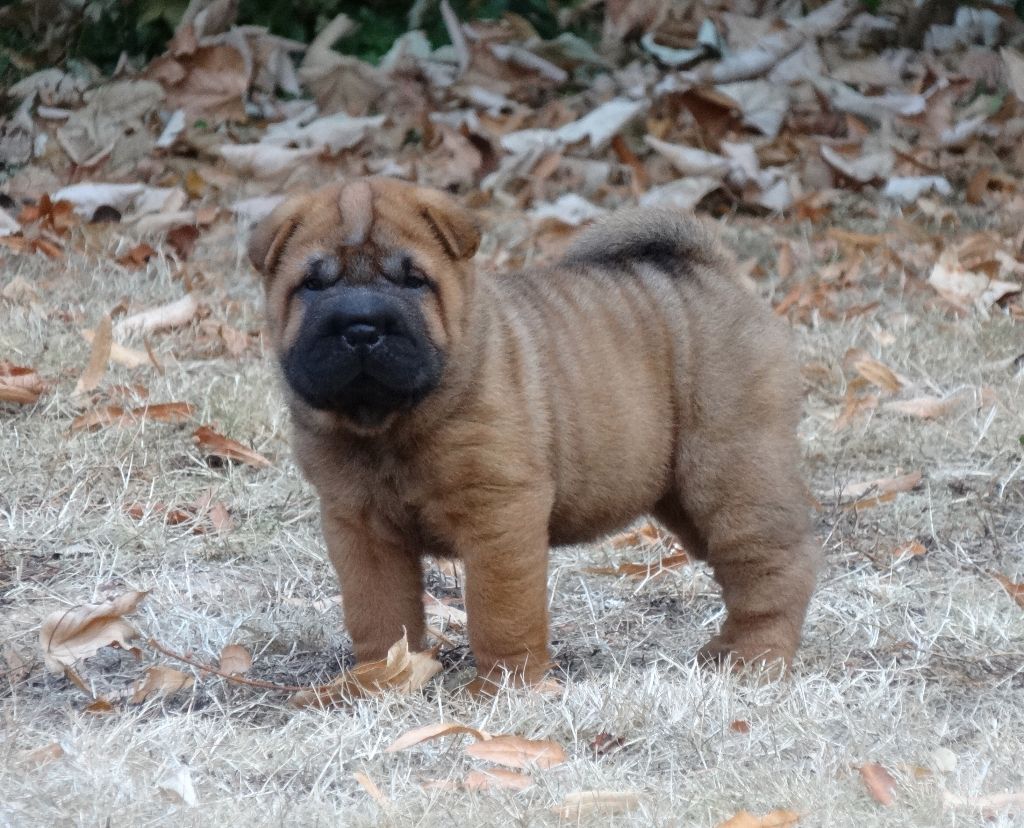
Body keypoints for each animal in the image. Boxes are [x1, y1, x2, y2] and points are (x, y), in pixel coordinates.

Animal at [249, 177, 820, 690]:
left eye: (414, 281)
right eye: (313, 285)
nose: (362, 326)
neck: (387, 426)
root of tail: (713, 268)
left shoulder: (499, 511)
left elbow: (501, 611)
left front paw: (505, 687)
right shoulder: (359, 523)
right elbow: (379, 611)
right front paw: (380, 677)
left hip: (732, 471)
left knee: (770, 566)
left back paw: (753, 658)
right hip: (683, 497)